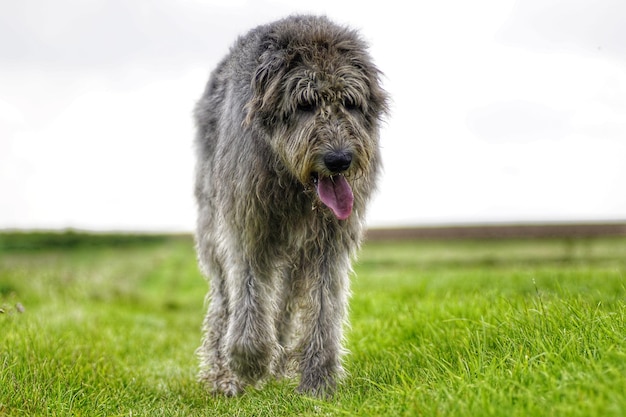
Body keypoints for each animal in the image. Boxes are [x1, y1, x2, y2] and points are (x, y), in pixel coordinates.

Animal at [193, 14, 386, 394]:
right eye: (305, 103)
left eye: (350, 102)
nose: (339, 160)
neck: (293, 184)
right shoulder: (247, 222)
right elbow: (248, 286)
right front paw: (249, 360)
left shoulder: (331, 239)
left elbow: (325, 302)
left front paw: (318, 380)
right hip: (211, 224)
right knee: (224, 298)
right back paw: (224, 374)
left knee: (284, 299)